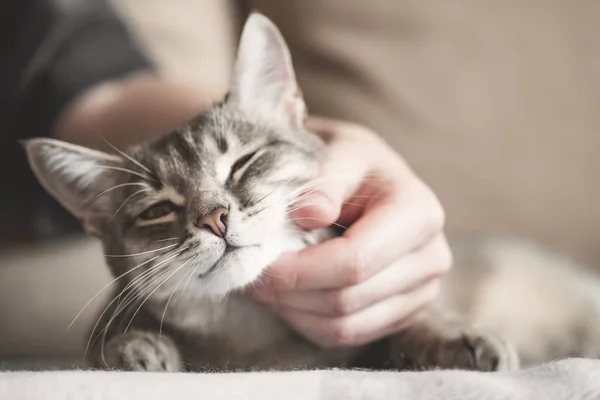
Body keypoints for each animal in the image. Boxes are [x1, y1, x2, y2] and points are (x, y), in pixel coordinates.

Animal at [21, 12, 600, 374]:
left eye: (243, 163)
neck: (256, 339)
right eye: (159, 209)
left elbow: (413, 317)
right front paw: (132, 345)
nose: (214, 218)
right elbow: (105, 339)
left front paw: (455, 337)